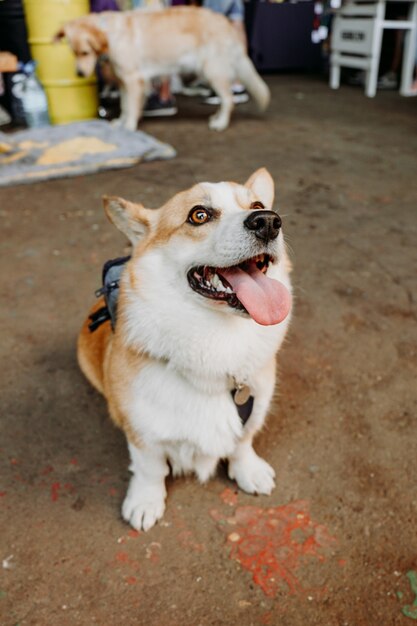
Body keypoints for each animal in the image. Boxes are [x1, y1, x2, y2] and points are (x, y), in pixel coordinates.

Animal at [54, 5, 270, 132]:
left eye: (85, 52)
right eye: (74, 52)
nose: (79, 74)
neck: (110, 33)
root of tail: (227, 23)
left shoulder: (134, 79)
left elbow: (131, 107)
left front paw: (129, 126)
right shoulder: (124, 81)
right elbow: (124, 105)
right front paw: (121, 123)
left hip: (212, 70)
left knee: (228, 99)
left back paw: (221, 123)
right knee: (226, 99)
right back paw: (216, 117)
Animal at [79, 168, 292, 528]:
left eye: (257, 205)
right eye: (199, 215)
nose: (268, 221)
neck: (217, 341)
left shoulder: (254, 406)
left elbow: (242, 442)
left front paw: (248, 471)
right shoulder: (142, 432)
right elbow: (150, 468)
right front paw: (145, 502)